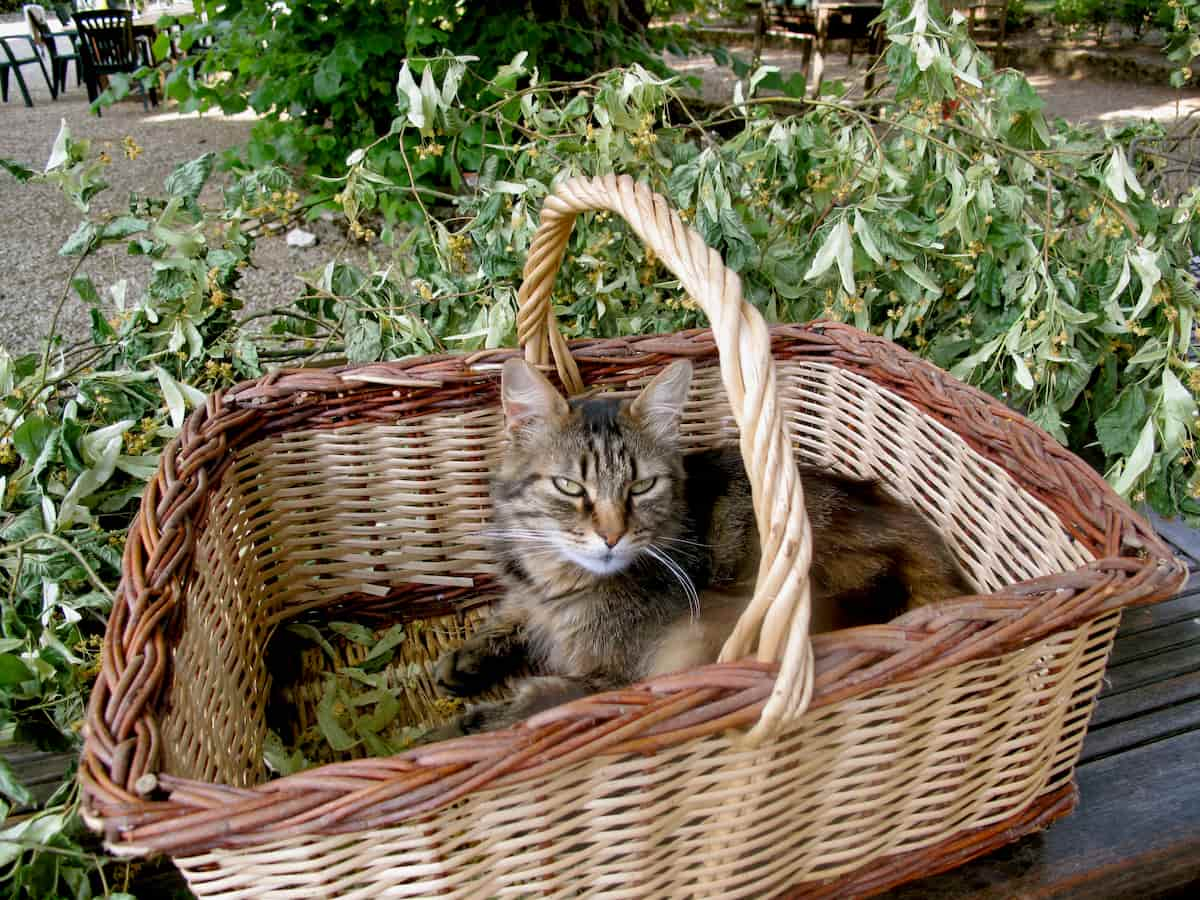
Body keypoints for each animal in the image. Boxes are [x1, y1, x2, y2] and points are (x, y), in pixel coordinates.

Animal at [436, 355, 969, 734]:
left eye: (641, 487)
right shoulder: (529, 598)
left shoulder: (617, 682)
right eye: (570, 487)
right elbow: (510, 616)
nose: (611, 537)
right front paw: (465, 659)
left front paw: (456, 730)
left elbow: (535, 706)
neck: (559, 580)